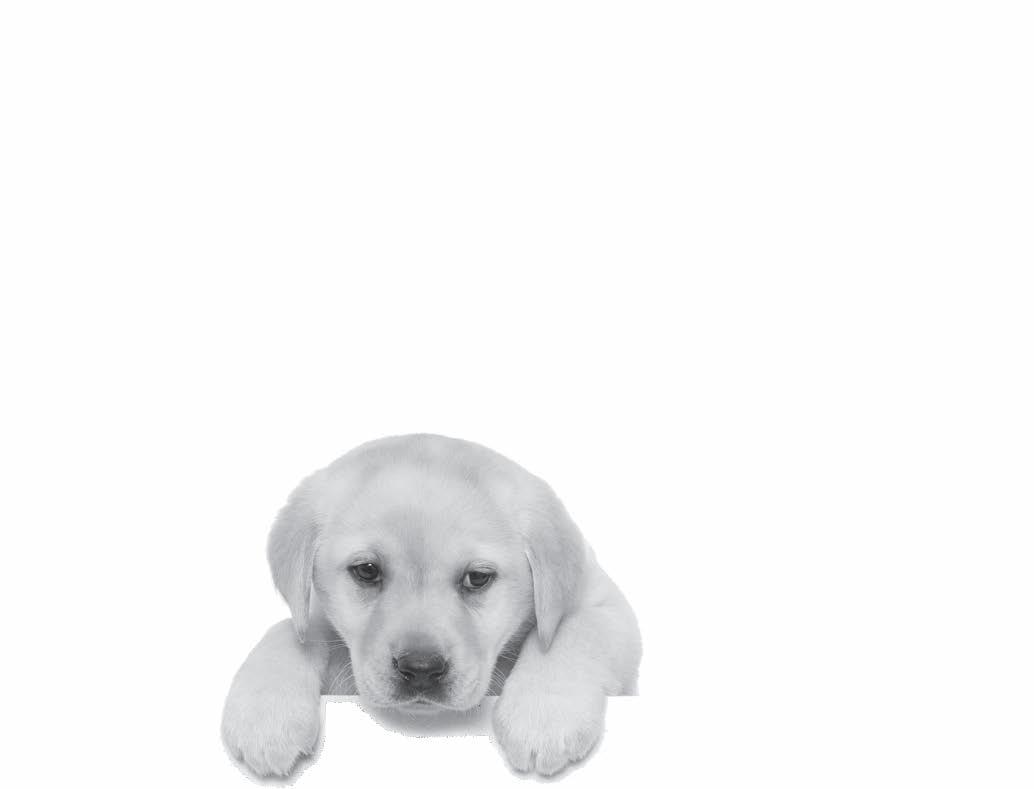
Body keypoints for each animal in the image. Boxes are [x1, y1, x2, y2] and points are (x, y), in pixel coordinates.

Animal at [221, 434, 641, 777]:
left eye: (477, 578)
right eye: (367, 571)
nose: (420, 669)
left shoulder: (605, 607)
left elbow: (575, 631)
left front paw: (543, 716)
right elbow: (292, 632)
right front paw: (264, 716)